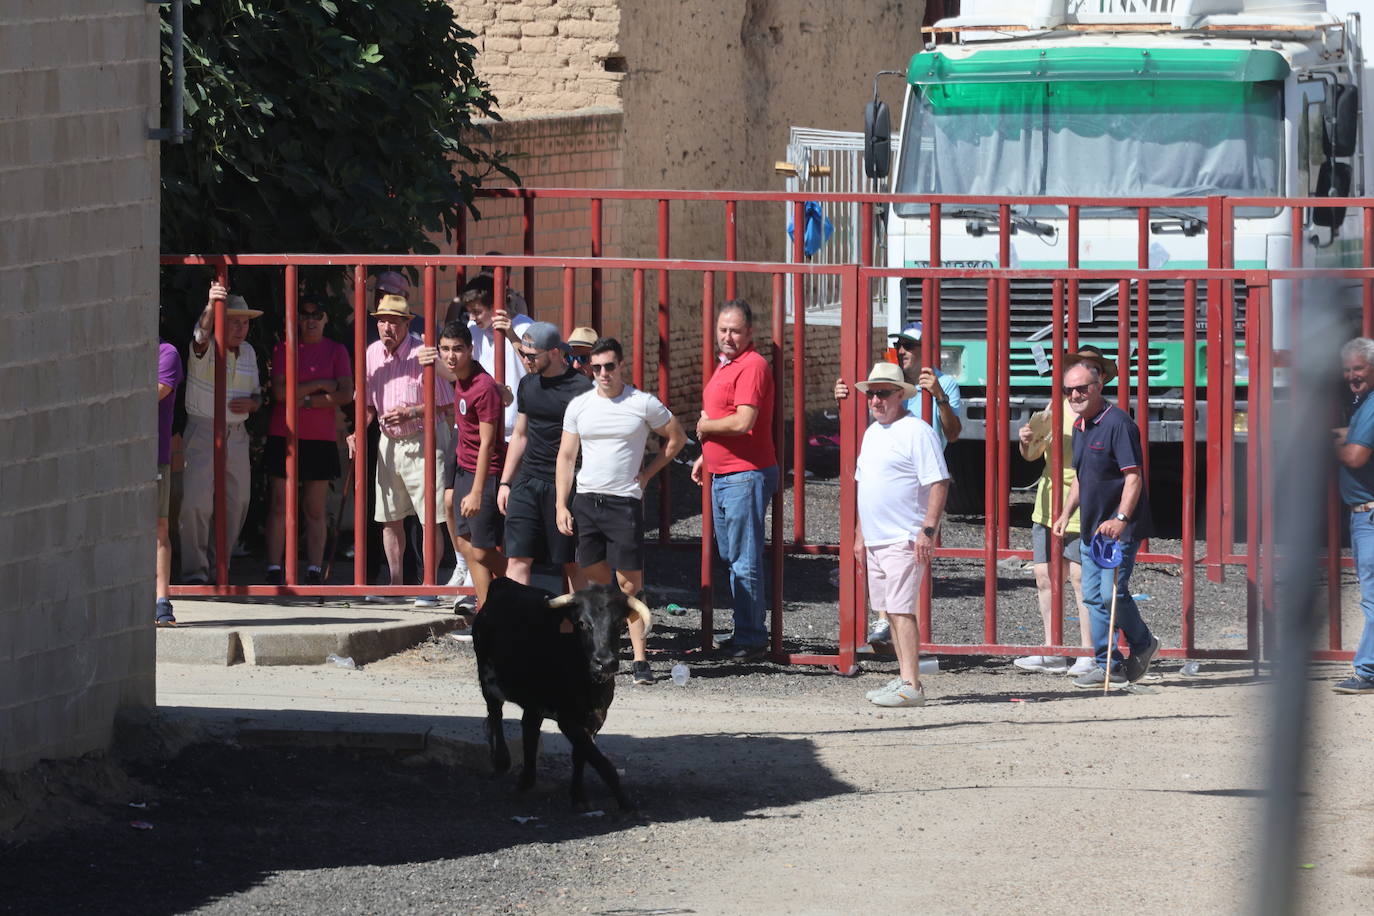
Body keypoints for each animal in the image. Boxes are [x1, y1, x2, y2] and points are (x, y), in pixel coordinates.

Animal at [475, 579, 651, 807]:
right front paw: (625, 803)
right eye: (583, 624)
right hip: (487, 678)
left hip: (534, 701)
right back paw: (502, 761)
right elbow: (600, 762)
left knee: (530, 729)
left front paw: (577, 795)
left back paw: (527, 780)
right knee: (496, 713)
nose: (605, 662)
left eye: (620, 624)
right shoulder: (568, 721)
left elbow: (581, 755)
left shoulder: (595, 719)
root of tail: (503, 584)